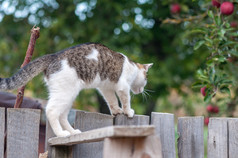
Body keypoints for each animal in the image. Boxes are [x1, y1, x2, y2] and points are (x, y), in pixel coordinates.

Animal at [0, 43, 152, 137]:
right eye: (146, 79)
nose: (142, 90)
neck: (132, 67)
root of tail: (53, 56)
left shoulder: (106, 88)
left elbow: (112, 101)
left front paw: (116, 111)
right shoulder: (123, 87)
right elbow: (125, 101)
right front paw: (128, 112)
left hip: (68, 95)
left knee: (62, 115)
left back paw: (73, 132)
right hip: (66, 93)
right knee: (51, 111)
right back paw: (61, 134)